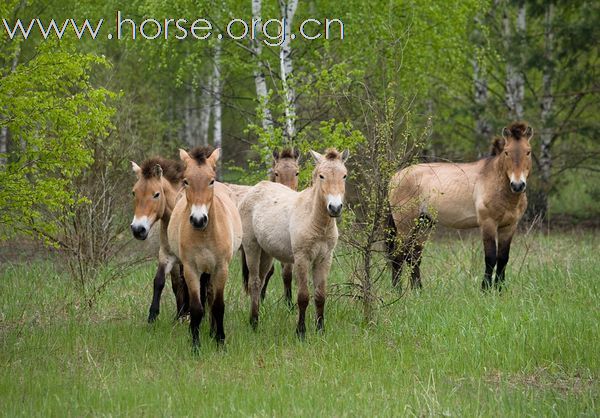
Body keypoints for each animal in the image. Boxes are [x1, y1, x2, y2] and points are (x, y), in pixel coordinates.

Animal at [130, 157, 189, 324]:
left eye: (156, 194)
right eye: (134, 193)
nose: (138, 229)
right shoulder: (166, 255)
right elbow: (160, 281)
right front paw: (153, 316)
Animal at [166, 147, 241, 350]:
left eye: (211, 181)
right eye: (186, 181)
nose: (198, 220)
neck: (205, 235)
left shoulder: (221, 269)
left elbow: (218, 305)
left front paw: (220, 342)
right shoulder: (191, 270)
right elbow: (197, 308)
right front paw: (195, 345)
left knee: (211, 296)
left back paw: (213, 332)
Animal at [239, 147, 350, 336]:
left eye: (344, 175)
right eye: (321, 176)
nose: (335, 208)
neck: (315, 220)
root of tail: (256, 188)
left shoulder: (324, 259)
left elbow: (320, 296)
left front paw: (320, 330)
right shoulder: (301, 258)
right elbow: (303, 296)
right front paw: (301, 332)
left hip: (266, 254)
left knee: (261, 281)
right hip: (251, 248)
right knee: (254, 283)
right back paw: (254, 323)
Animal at [390, 122, 536, 290]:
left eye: (528, 152)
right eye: (506, 152)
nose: (517, 185)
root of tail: (394, 177)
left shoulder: (509, 226)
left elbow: (503, 259)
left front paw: (499, 290)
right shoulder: (488, 224)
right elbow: (490, 258)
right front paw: (485, 289)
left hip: (424, 224)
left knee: (414, 257)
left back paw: (418, 291)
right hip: (404, 226)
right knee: (398, 256)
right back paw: (397, 291)